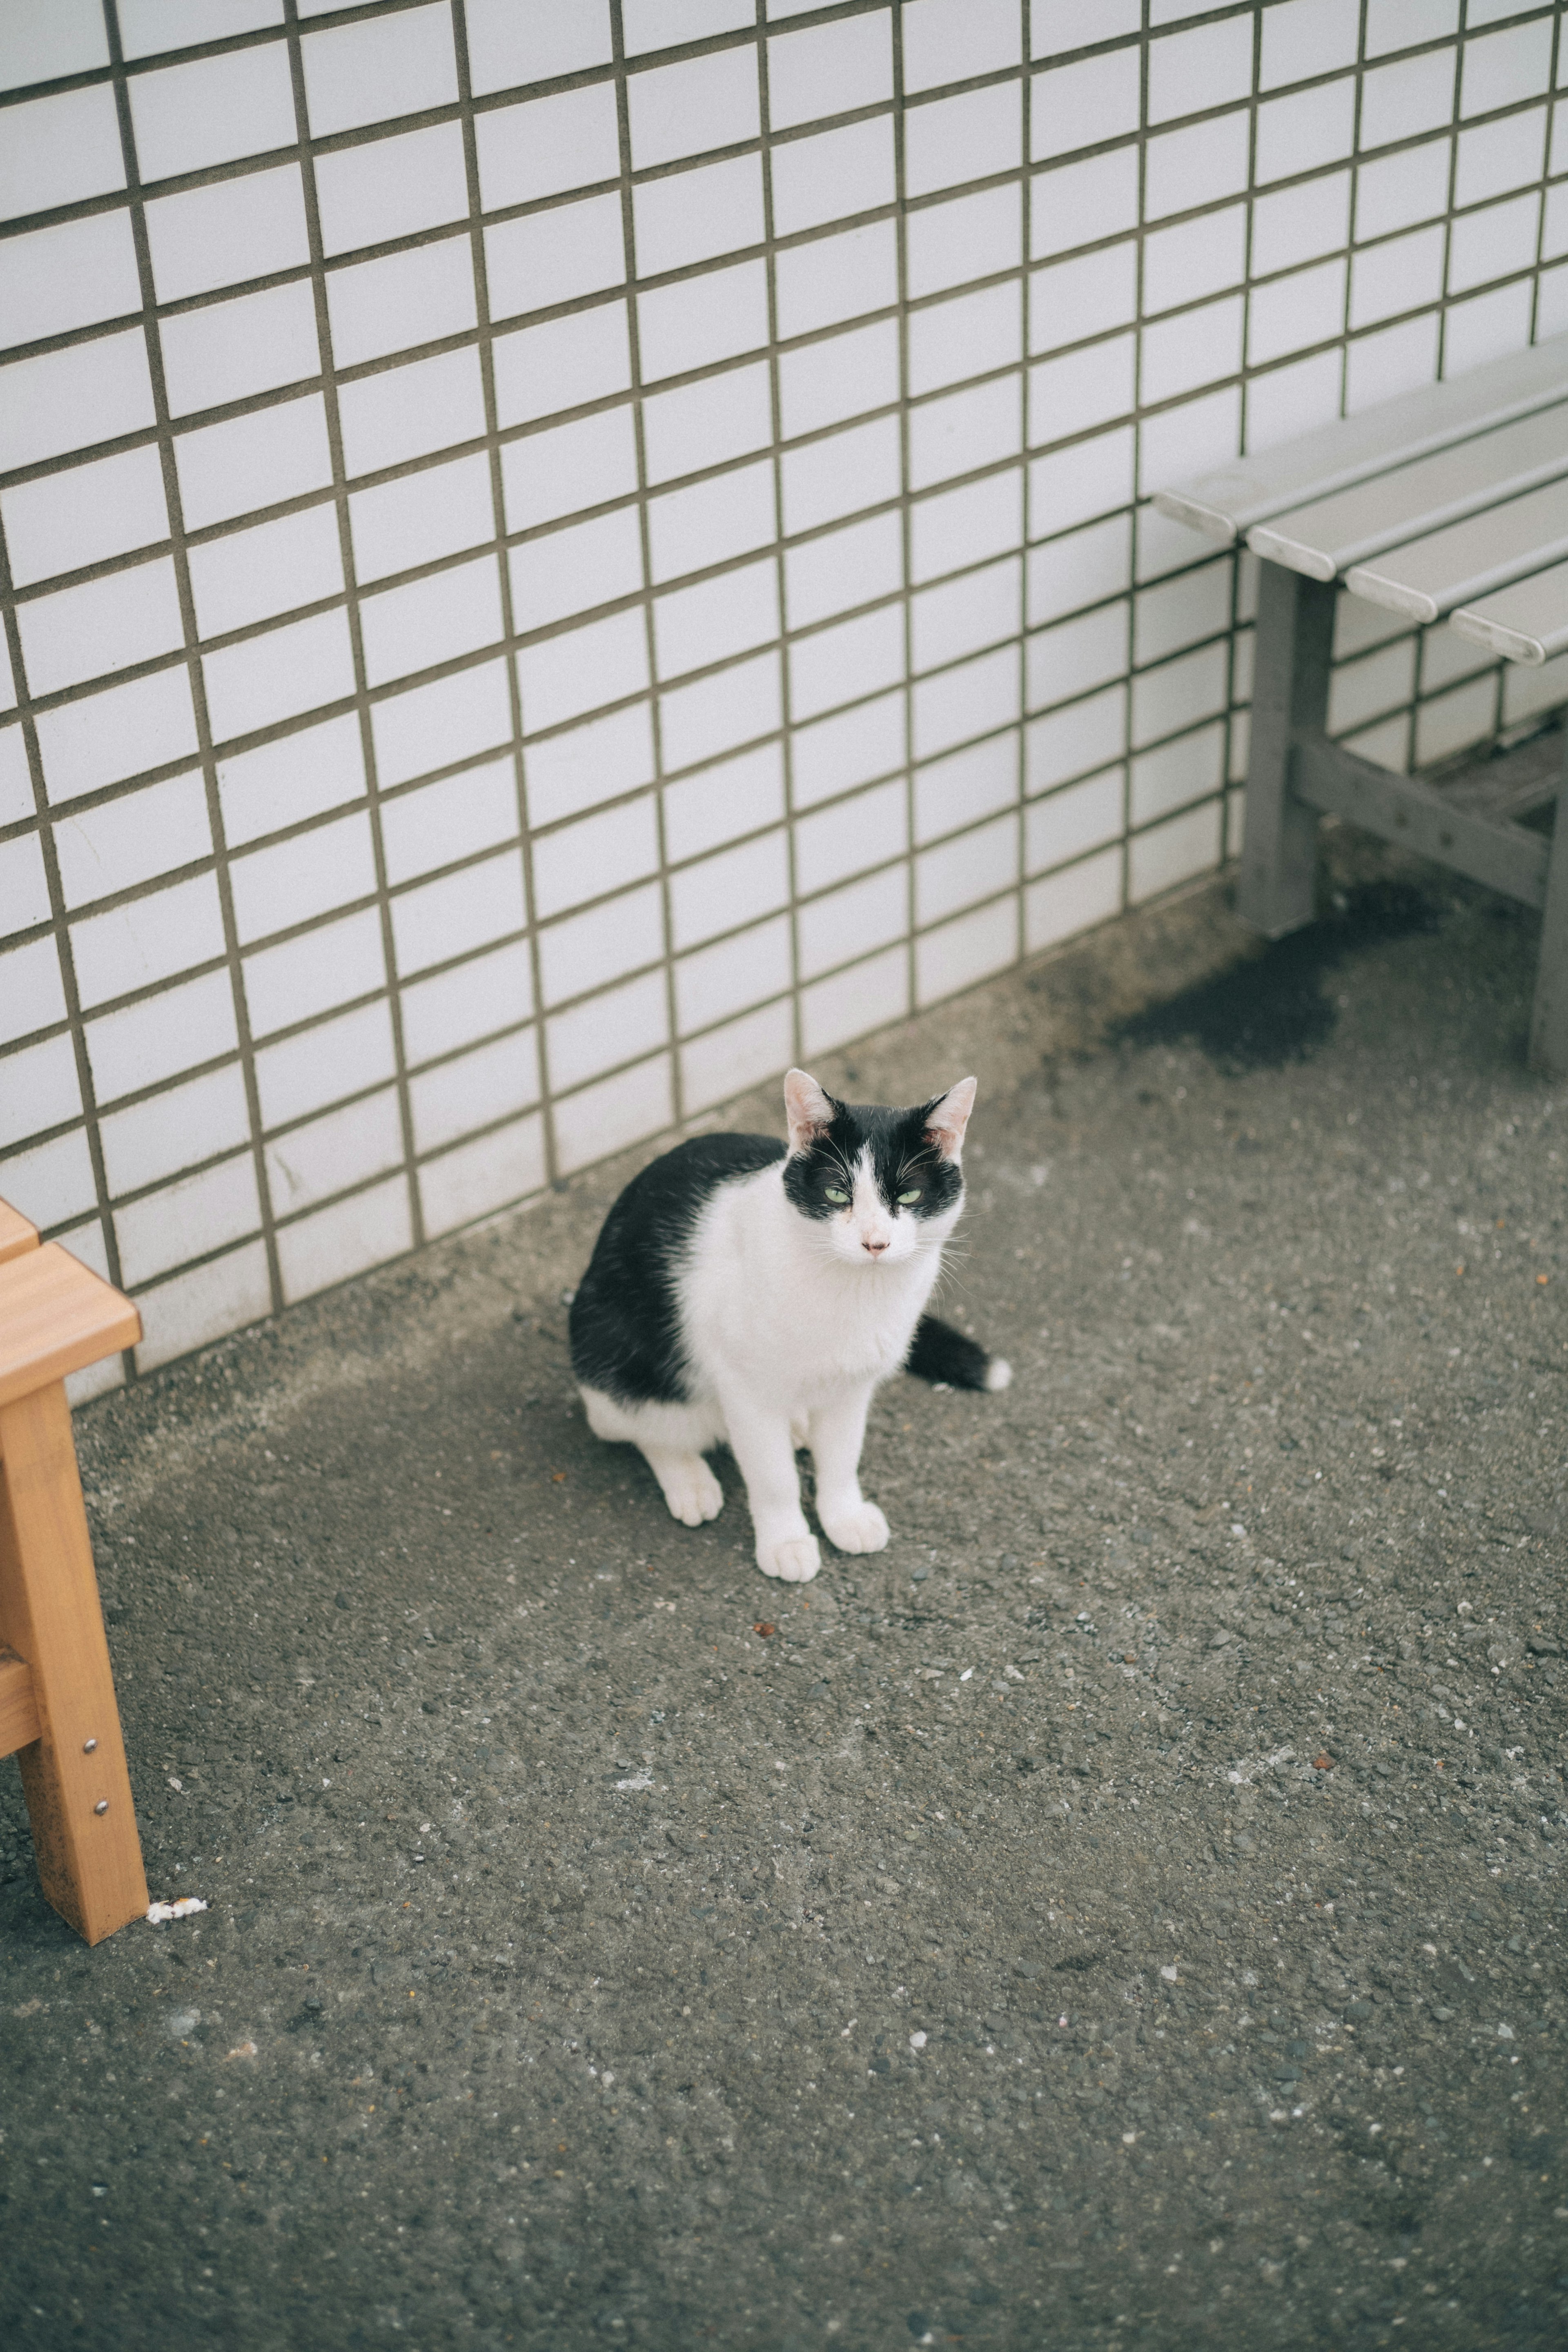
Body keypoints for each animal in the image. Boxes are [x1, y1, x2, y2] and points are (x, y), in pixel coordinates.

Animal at [571, 1068, 1011, 1580]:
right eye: (837, 1193)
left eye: (909, 1194)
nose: (875, 1243)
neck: (856, 1292)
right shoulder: (747, 1390)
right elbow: (773, 1476)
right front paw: (786, 1542)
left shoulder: (852, 1387)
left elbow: (842, 1457)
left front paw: (844, 1517)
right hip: (612, 1355)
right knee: (644, 1426)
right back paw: (689, 1481)